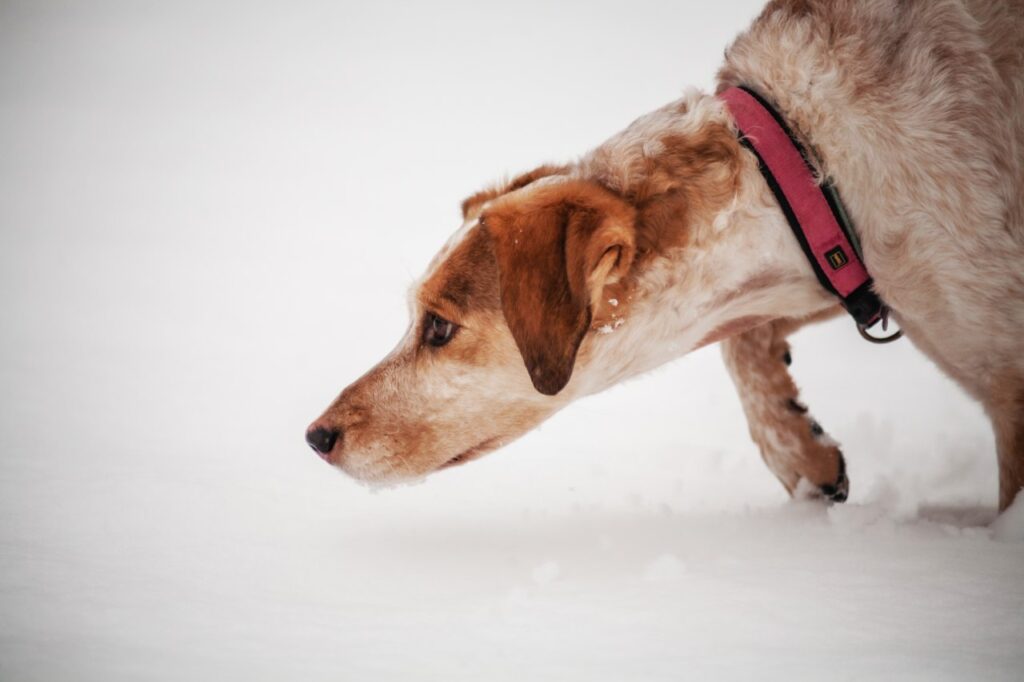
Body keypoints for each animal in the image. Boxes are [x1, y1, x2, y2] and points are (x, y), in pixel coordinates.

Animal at [305, 0, 1024, 509]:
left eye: (439, 328)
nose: (315, 436)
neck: (804, 158)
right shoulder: (836, 271)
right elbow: (744, 347)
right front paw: (802, 453)